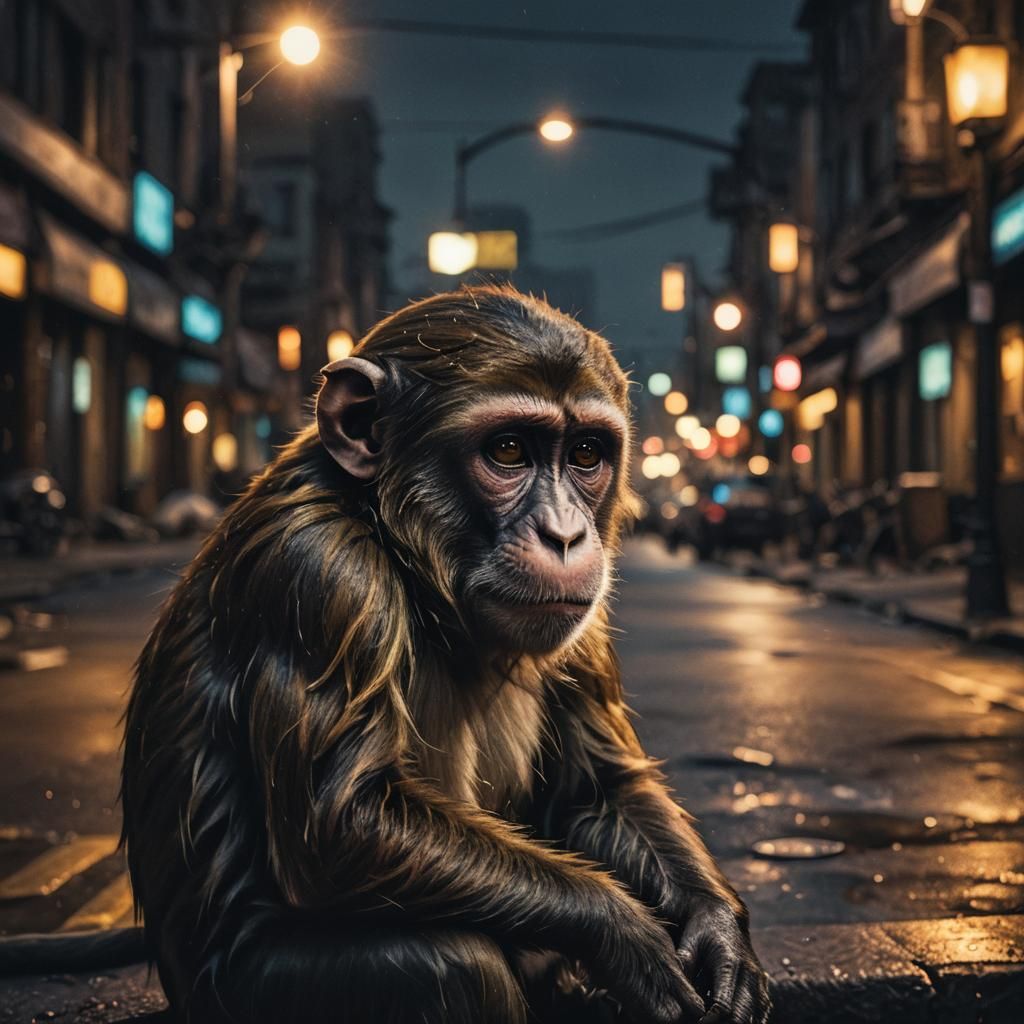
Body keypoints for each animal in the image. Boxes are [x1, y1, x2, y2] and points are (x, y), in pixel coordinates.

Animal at [120, 285, 770, 1024]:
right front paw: (623, 934)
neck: (393, 535)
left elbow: (597, 787)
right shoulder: (316, 569)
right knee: (453, 965)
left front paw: (719, 934)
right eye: (509, 450)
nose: (566, 535)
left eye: (585, 455)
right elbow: (341, 821)